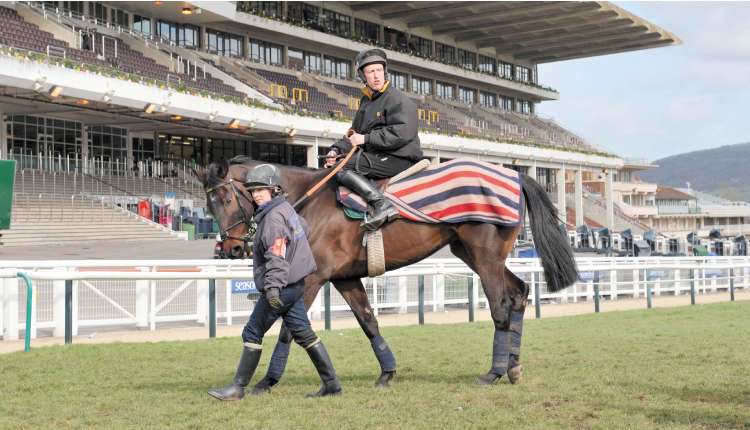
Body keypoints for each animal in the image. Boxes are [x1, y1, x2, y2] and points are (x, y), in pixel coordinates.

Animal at [192, 157, 576, 390]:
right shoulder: (344, 277)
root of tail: (515, 173)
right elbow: (368, 321)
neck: (307, 201)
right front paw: (387, 373)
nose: (231, 249)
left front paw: (267, 381)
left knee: (500, 306)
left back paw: (495, 371)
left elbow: (289, 331)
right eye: (208, 203)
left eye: (226, 199)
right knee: (519, 294)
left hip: (484, 256)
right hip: (470, 253)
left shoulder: (312, 279)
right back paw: (513, 366)